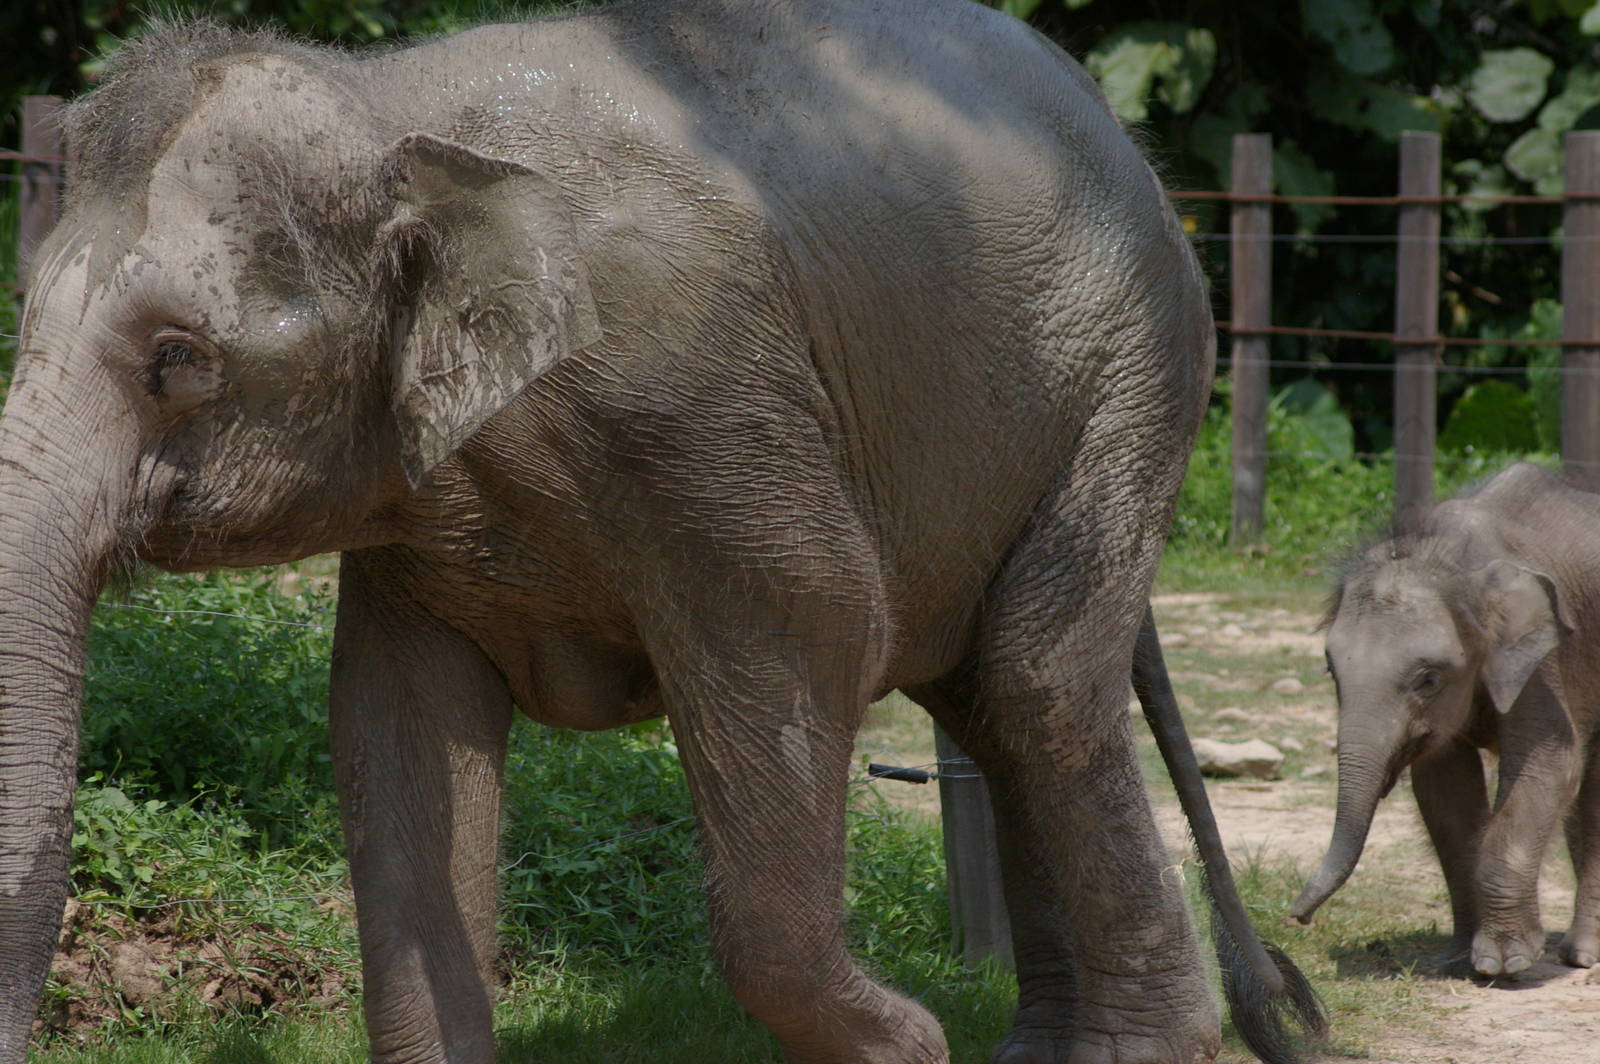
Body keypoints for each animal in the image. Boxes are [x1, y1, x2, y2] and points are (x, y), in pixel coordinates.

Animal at [0, 2, 1323, 1062]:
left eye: (179, 357)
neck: (394, 110)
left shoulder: (692, 391)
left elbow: (824, 622)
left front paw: (905, 1041)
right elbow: (393, 721)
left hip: (1134, 365)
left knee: (1038, 679)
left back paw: (1130, 1048)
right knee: (990, 694)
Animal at [1291, 462, 1600, 979]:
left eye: (1428, 678)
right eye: (1331, 670)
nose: (1298, 917)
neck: (1453, 557)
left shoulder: (1546, 661)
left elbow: (1550, 766)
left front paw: (1506, 963)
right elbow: (1444, 791)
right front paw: (1459, 960)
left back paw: (1582, 956)